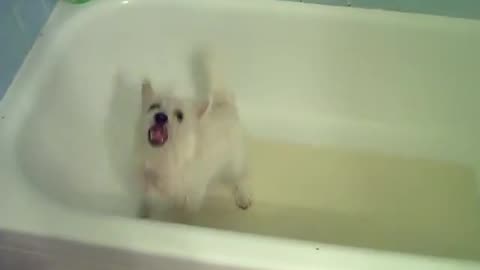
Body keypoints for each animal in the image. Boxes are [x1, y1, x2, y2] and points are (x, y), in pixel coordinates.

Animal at [137, 51, 251, 218]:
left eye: (180, 115)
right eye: (153, 106)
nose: (161, 117)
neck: (165, 158)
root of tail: (223, 104)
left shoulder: (192, 195)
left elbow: (187, 212)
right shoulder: (148, 188)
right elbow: (149, 202)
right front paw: (144, 214)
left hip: (234, 162)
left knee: (240, 178)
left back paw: (243, 196)